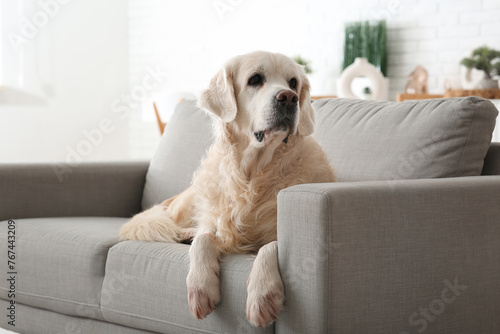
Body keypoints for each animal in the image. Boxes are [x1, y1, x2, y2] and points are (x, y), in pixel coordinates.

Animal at [119, 51, 336, 328]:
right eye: (255, 79)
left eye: (293, 83)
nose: (289, 98)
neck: (253, 173)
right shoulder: (215, 221)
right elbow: (202, 240)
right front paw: (201, 286)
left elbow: (271, 246)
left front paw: (263, 294)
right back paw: (184, 233)